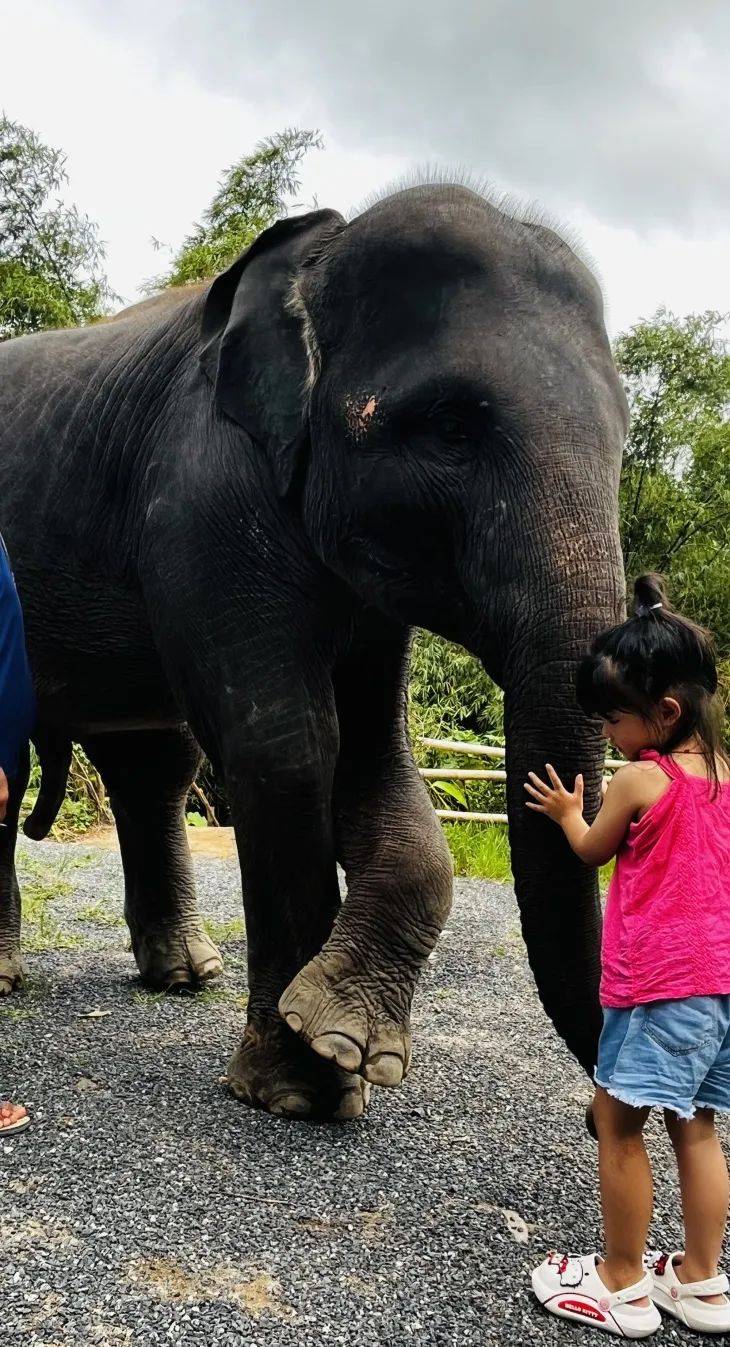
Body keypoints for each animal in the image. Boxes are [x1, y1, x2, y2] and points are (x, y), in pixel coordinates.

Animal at [0, 184, 630, 1120]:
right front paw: (301, 1090)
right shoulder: (204, 496)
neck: (317, 253)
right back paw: (13, 981)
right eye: (452, 427)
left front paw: (351, 1044)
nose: (601, 1115)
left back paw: (185, 977)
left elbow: (375, 758)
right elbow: (291, 745)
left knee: (155, 767)